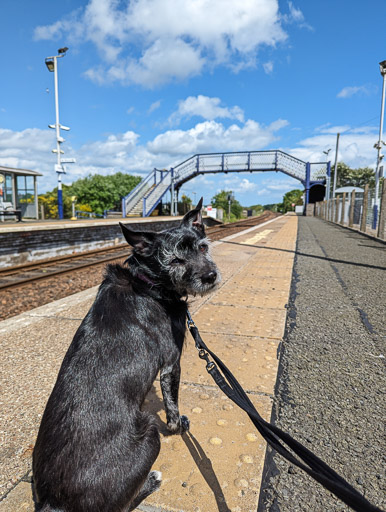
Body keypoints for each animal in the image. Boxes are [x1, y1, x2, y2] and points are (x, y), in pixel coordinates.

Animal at [33, 199, 220, 512]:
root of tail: (52, 502)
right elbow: (172, 408)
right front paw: (179, 427)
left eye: (203, 247)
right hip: (150, 434)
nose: (210, 276)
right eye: (175, 260)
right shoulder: (171, 364)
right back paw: (152, 481)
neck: (147, 282)